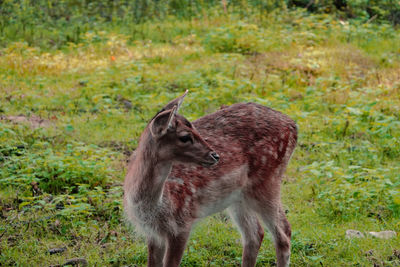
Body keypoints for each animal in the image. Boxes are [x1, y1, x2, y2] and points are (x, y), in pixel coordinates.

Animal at [124, 91, 296, 266]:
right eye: (185, 137)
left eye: (194, 128)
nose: (215, 155)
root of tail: (293, 126)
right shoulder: (153, 233)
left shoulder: (182, 224)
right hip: (238, 197)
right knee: (255, 234)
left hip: (268, 181)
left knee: (284, 232)